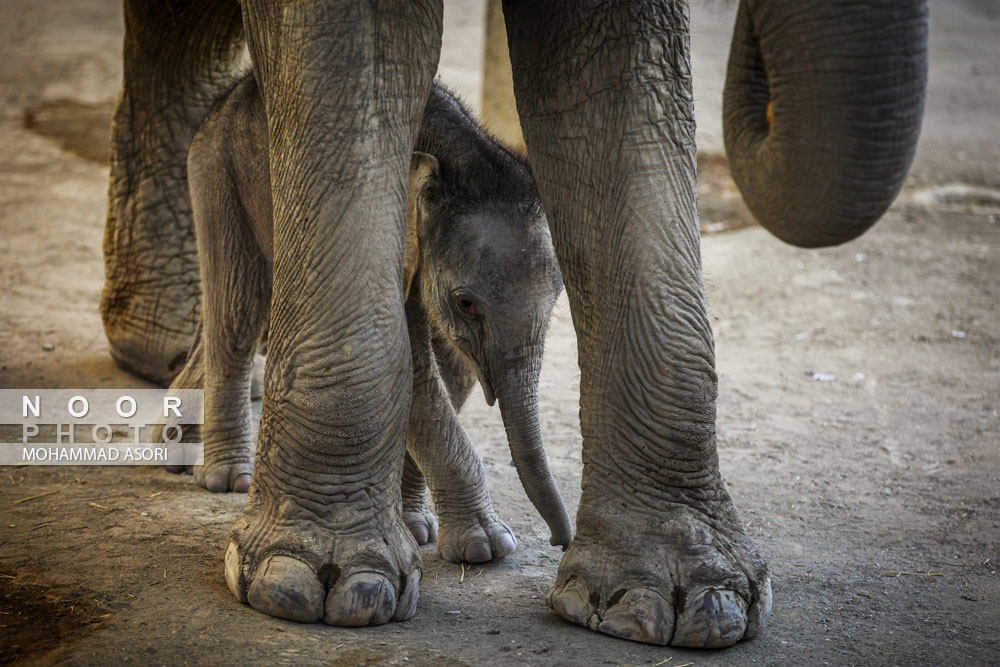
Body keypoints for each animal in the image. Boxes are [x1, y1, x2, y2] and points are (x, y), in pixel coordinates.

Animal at [172, 77, 572, 564]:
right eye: (466, 304)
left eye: (556, 302)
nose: (560, 541)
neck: (461, 154)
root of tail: (234, 91)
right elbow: (410, 371)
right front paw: (486, 548)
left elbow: (452, 374)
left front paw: (417, 529)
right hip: (219, 172)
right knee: (239, 313)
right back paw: (228, 478)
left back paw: (175, 446)